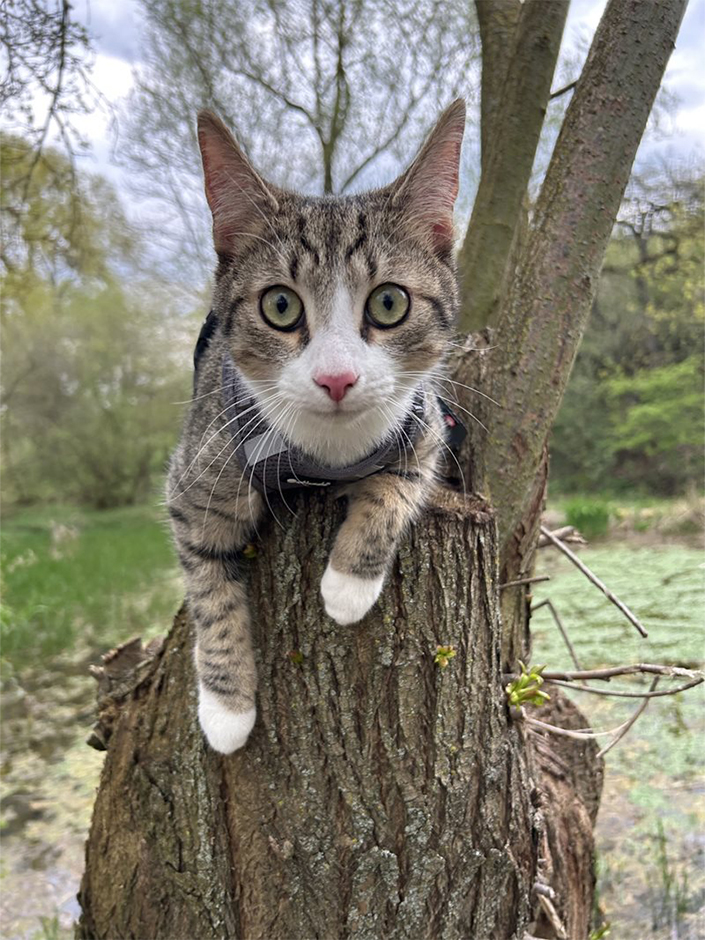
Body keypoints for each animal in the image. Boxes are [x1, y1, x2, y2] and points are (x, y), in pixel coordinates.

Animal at [167, 99, 464, 752]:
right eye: (280, 305)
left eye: (389, 303)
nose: (336, 378)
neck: (325, 456)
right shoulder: (198, 469)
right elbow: (208, 586)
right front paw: (227, 708)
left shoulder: (425, 423)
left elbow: (402, 483)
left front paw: (347, 585)